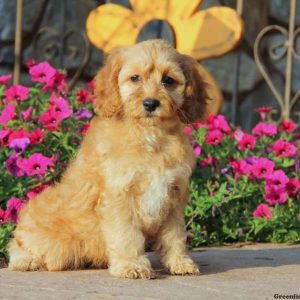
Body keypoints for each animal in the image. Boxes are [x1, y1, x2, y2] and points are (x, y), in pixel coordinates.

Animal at [8, 39, 206, 278]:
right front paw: (132, 265)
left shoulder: (174, 196)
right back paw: (26, 261)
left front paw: (180, 262)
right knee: (18, 244)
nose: (151, 103)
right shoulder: (119, 196)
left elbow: (174, 235)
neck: (149, 135)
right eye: (135, 78)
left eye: (168, 80)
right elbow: (127, 235)